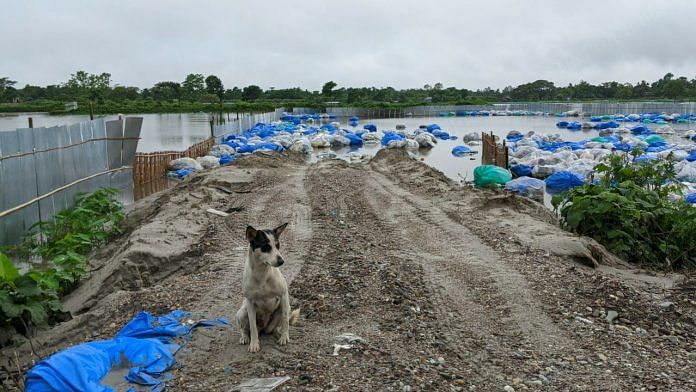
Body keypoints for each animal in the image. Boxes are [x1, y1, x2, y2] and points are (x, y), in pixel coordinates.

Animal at [237, 224, 300, 352]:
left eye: (278, 245)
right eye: (266, 247)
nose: (281, 261)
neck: (262, 274)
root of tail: (263, 328)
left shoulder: (283, 295)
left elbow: (285, 320)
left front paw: (284, 337)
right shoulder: (250, 303)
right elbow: (252, 327)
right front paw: (254, 344)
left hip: (285, 307)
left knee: (276, 325)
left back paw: (278, 332)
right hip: (242, 312)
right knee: (245, 328)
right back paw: (245, 337)